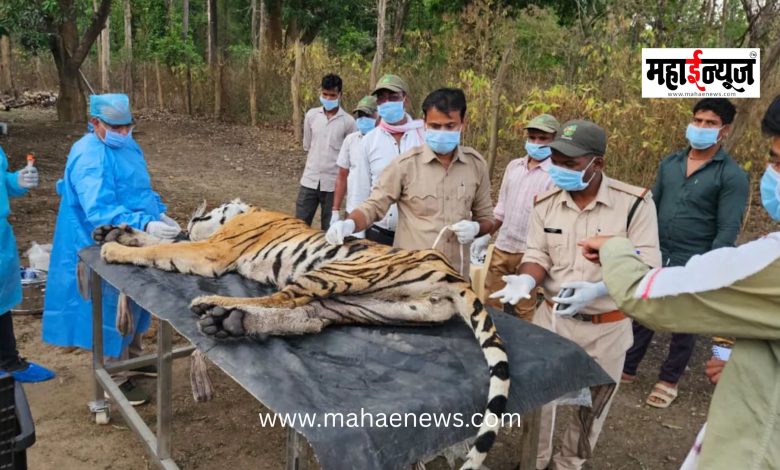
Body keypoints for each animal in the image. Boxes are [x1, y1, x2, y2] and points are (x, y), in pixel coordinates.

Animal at [92, 199, 510, 470]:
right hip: (367, 304)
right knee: (308, 317)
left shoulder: (213, 250)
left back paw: (213, 308)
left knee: (283, 298)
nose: (197, 209)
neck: (245, 212)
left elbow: (163, 248)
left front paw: (114, 248)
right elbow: (165, 240)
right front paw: (114, 231)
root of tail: (453, 272)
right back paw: (231, 322)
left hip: (338, 272)